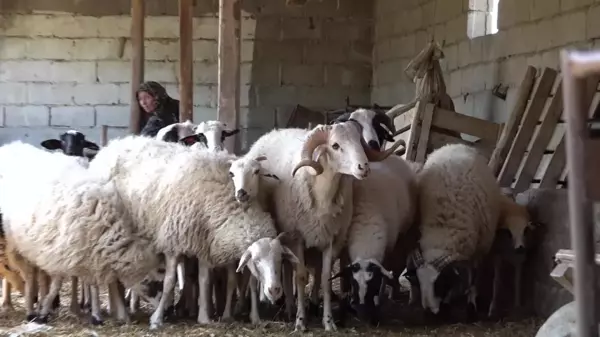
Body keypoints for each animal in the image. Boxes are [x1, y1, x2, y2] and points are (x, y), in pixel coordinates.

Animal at [0, 140, 163, 324]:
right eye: (154, 284)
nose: (166, 311)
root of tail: (11, 146)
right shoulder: (60, 253)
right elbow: (57, 284)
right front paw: (44, 311)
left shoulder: (88, 254)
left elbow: (92, 284)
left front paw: (96, 315)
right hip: (17, 244)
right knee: (26, 275)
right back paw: (25, 308)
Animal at [86, 135, 302, 328]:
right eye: (256, 261)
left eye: (280, 259)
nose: (275, 291)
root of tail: (110, 146)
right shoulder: (173, 242)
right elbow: (170, 282)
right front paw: (157, 319)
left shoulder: (204, 243)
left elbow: (204, 281)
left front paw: (205, 317)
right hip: (108, 231)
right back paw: (120, 312)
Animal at [238, 122, 404, 330]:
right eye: (335, 146)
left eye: (359, 142)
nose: (364, 167)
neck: (322, 193)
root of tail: (274, 131)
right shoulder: (298, 238)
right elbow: (300, 277)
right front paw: (301, 321)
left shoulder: (330, 239)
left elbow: (325, 279)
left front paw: (328, 321)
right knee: (287, 270)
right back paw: (289, 307)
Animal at [408, 142, 502, 316]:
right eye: (419, 281)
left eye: (440, 282)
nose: (429, 311)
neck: (444, 228)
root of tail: (456, 144)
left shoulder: (479, 251)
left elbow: (473, 278)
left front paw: (471, 302)